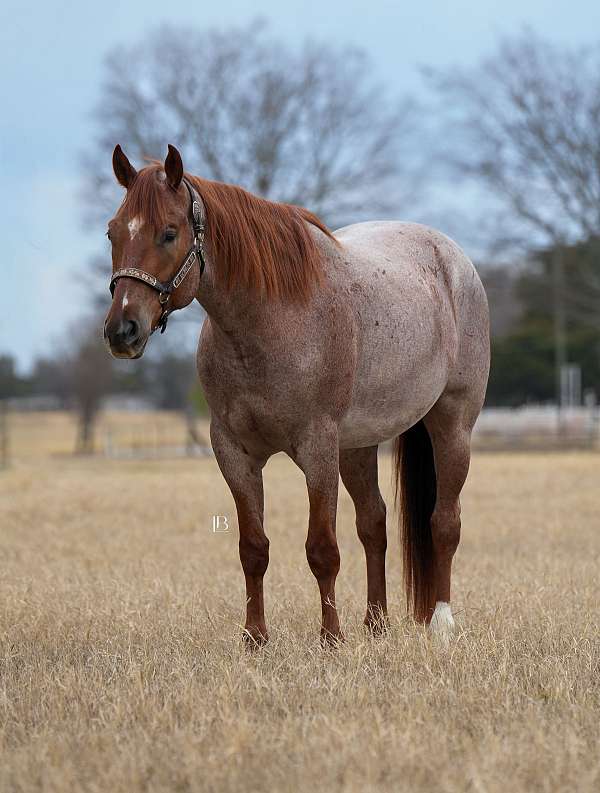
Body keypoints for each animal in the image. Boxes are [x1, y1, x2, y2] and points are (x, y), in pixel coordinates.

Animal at [104, 144, 490, 644]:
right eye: (112, 232)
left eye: (169, 233)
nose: (122, 330)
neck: (269, 321)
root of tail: (453, 257)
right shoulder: (233, 452)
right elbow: (253, 548)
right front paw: (255, 637)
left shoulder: (317, 446)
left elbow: (322, 548)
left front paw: (331, 638)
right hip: (358, 446)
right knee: (374, 524)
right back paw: (376, 624)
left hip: (452, 425)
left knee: (444, 522)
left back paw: (441, 623)